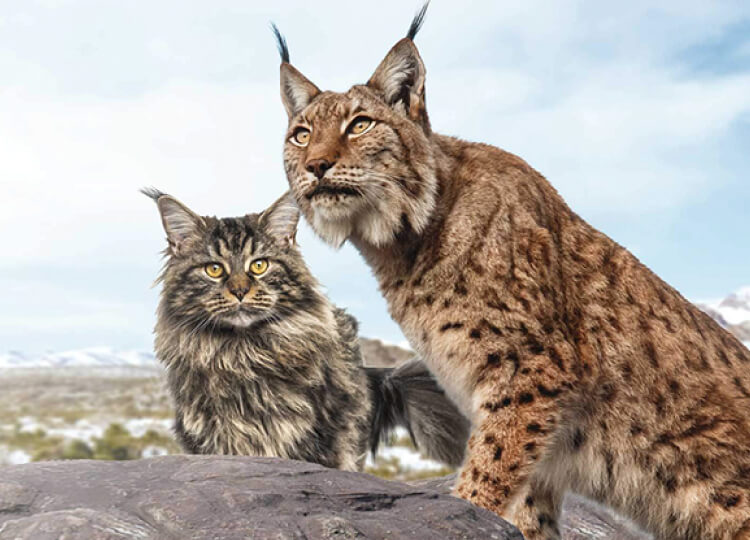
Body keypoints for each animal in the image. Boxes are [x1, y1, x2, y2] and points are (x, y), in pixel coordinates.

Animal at [272, 9, 750, 540]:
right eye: (300, 134)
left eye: (360, 125)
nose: (316, 166)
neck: (405, 243)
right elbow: (522, 502)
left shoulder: (533, 368)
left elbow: (487, 469)